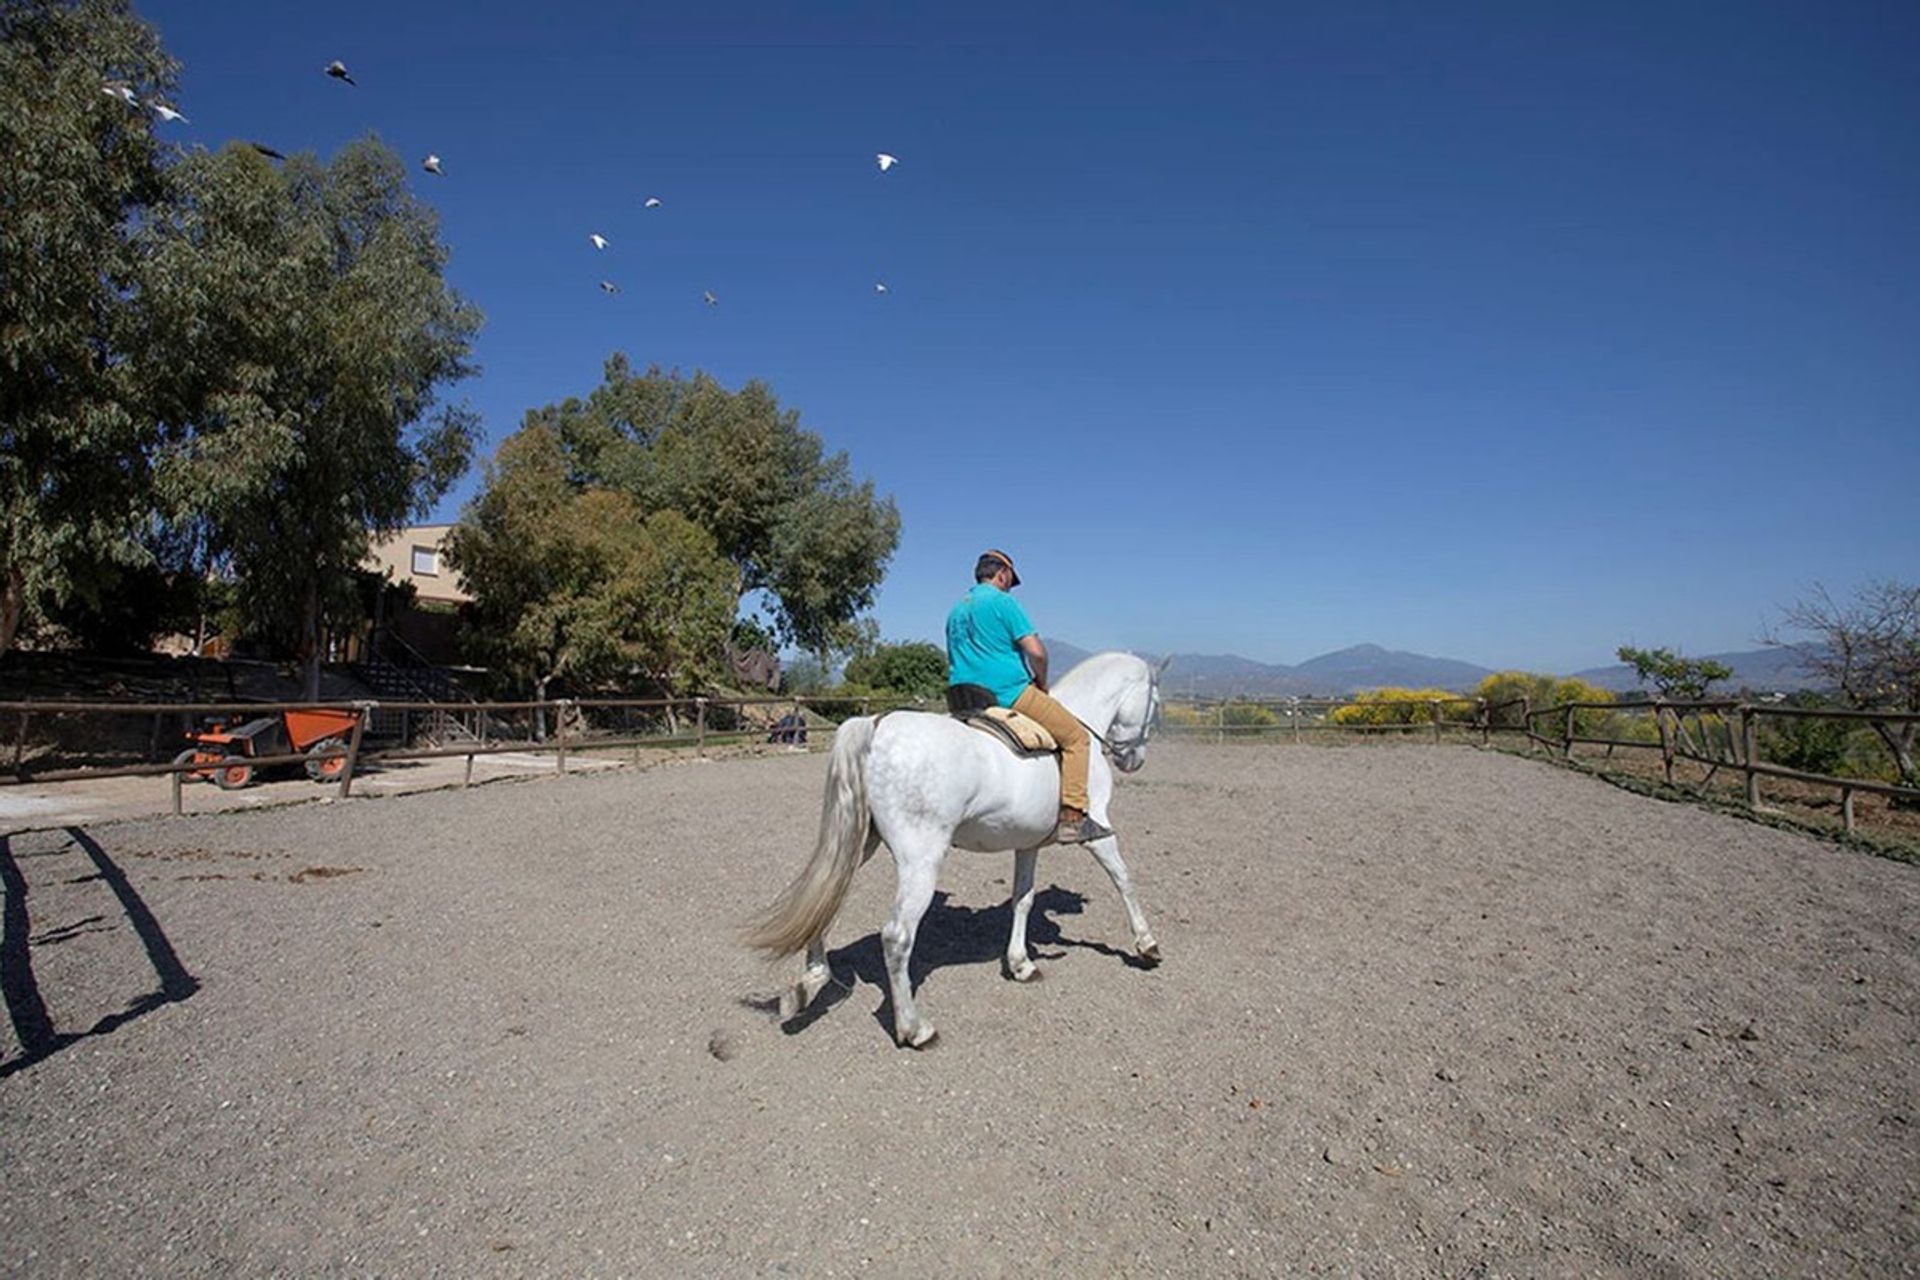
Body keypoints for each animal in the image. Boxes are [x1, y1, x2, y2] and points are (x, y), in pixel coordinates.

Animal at [748, 656, 1167, 1043]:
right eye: (1155, 701)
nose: (1134, 759)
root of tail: (878, 725)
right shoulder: (1096, 832)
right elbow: (1123, 879)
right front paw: (1147, 945)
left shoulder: (1027, 844)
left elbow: (1023, 899)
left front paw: (1021, 964)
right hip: (921, 858)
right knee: (896, 936)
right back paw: (914, 1029)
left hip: (859, 843)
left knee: (826, 898)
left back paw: (811, 981)